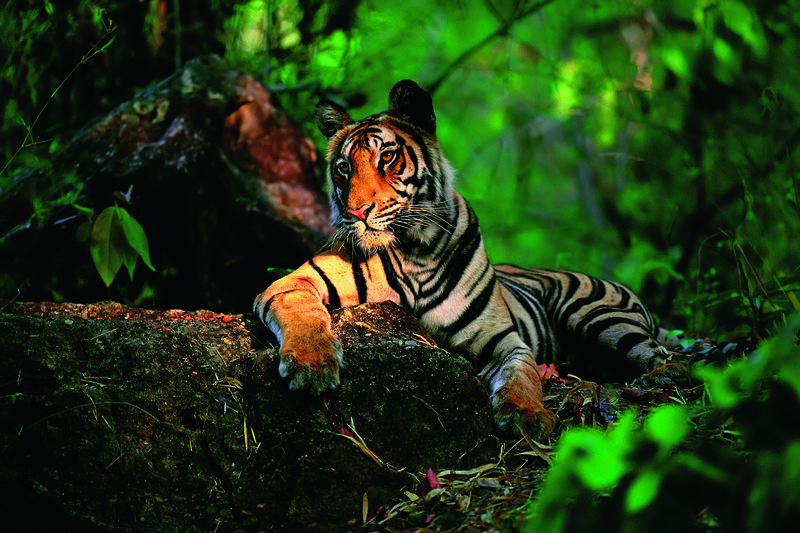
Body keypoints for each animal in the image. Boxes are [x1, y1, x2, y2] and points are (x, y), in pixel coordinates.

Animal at [254, 79, 673, 440]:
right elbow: (303, 313)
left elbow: (522, 374)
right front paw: (312, 366)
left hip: (598, 314)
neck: (415, 248)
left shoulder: (501, 339)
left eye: (387, 157)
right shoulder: (292, 283)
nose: (356, 212)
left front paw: (527, 415)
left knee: (660, 355)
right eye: (344, 168)